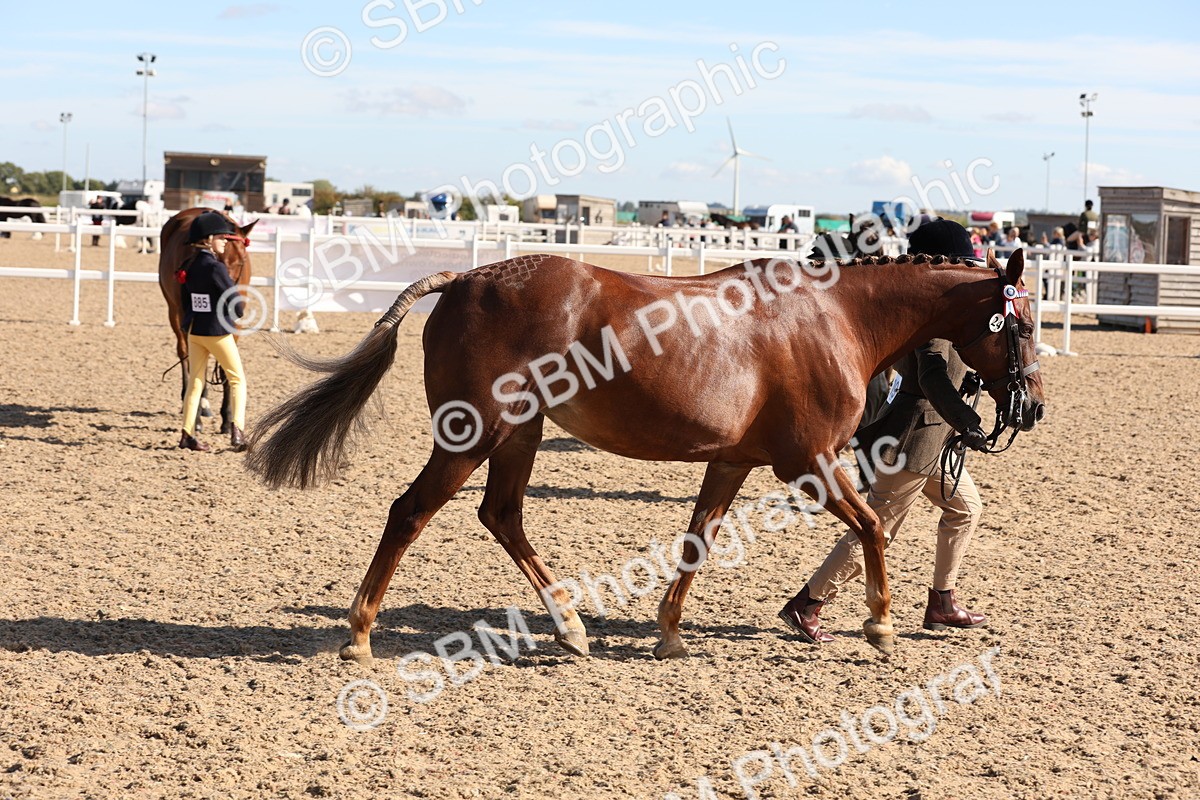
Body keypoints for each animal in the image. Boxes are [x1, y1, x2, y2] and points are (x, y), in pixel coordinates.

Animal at [247, 249, 1046, 664]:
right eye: (1023, 323)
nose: (1031, 407)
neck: (834, 318)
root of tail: (468, 278)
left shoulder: (733, 462)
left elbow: (697, 542)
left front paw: (668, 634)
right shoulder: (807, 462)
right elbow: (874, 527)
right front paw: (880, 627)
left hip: (519, 435)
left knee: (501, 516)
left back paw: (570, 628)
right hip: (475, 434)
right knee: (409, 513)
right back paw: (359, 635)